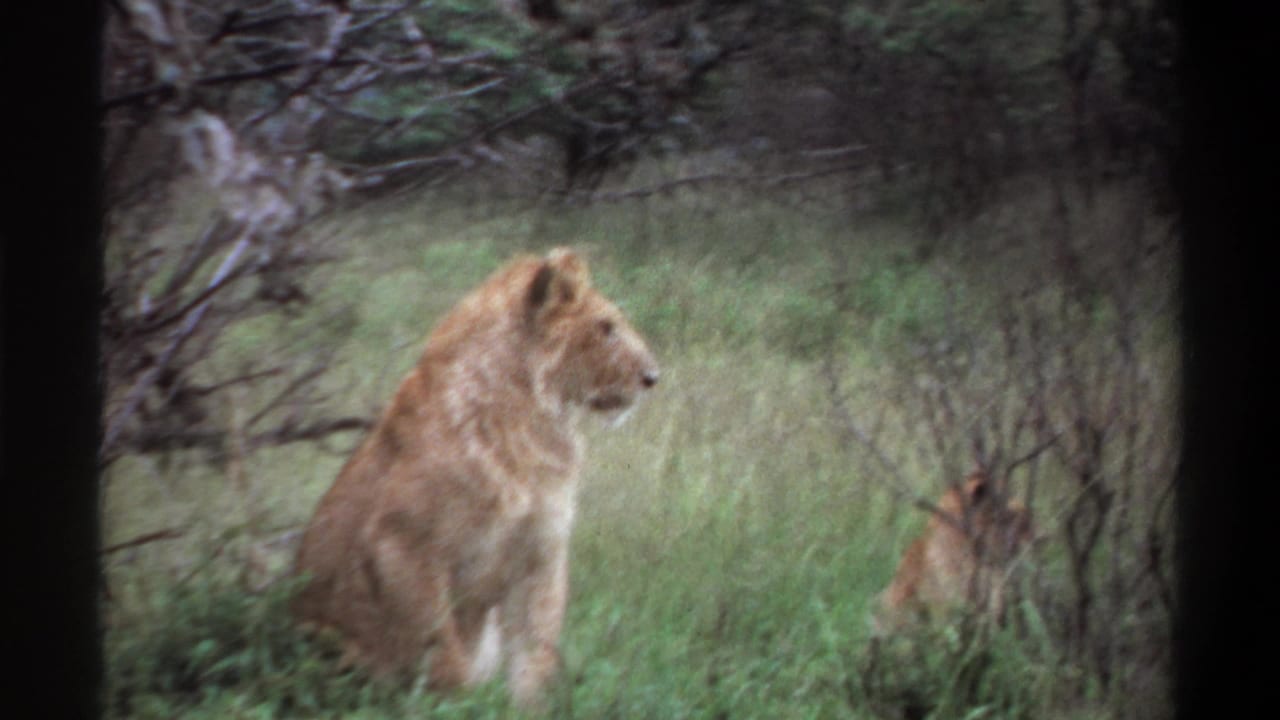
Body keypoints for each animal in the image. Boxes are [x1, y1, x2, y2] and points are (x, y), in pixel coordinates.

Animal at [292, 247, 659, 707]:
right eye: (606, 328)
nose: (653, 377)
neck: (531, 422)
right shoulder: (401, 546)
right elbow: (444, 657)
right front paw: (459, 706)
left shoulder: (541, 554)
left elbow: (534, 656)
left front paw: (525, 709)